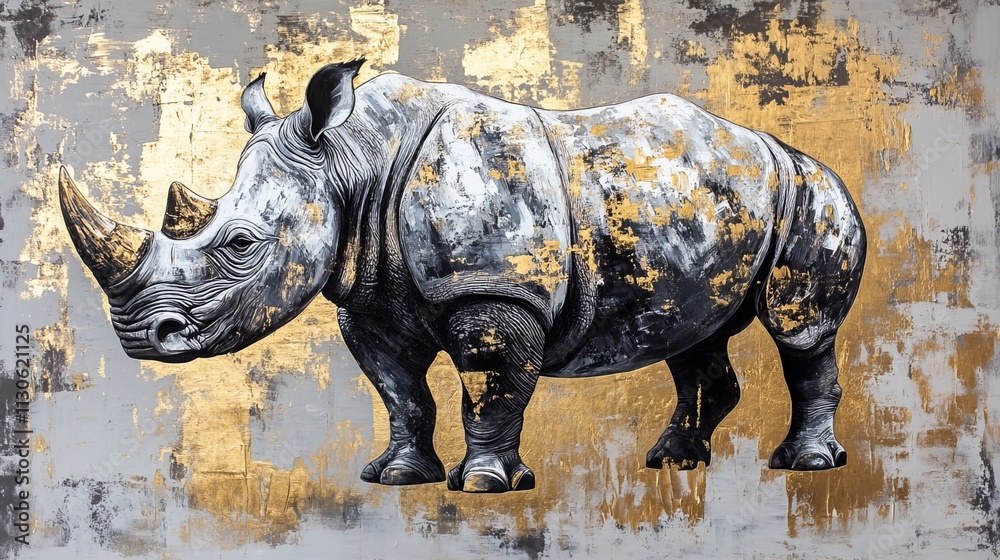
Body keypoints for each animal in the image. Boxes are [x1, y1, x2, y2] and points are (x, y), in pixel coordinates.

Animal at [60, 59, 866, 493]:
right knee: (694, 335)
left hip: (813, 193)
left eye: (239, 244)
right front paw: (396, 476)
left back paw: (805, 465)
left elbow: (489, 388)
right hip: (700, 206)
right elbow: (401, 393)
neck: (351, 160)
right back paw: (672, 462)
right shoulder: (369, 298)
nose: (138, 336)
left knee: (800, 330)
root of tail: (781, 146)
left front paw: (484, 486)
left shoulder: (495, 289)